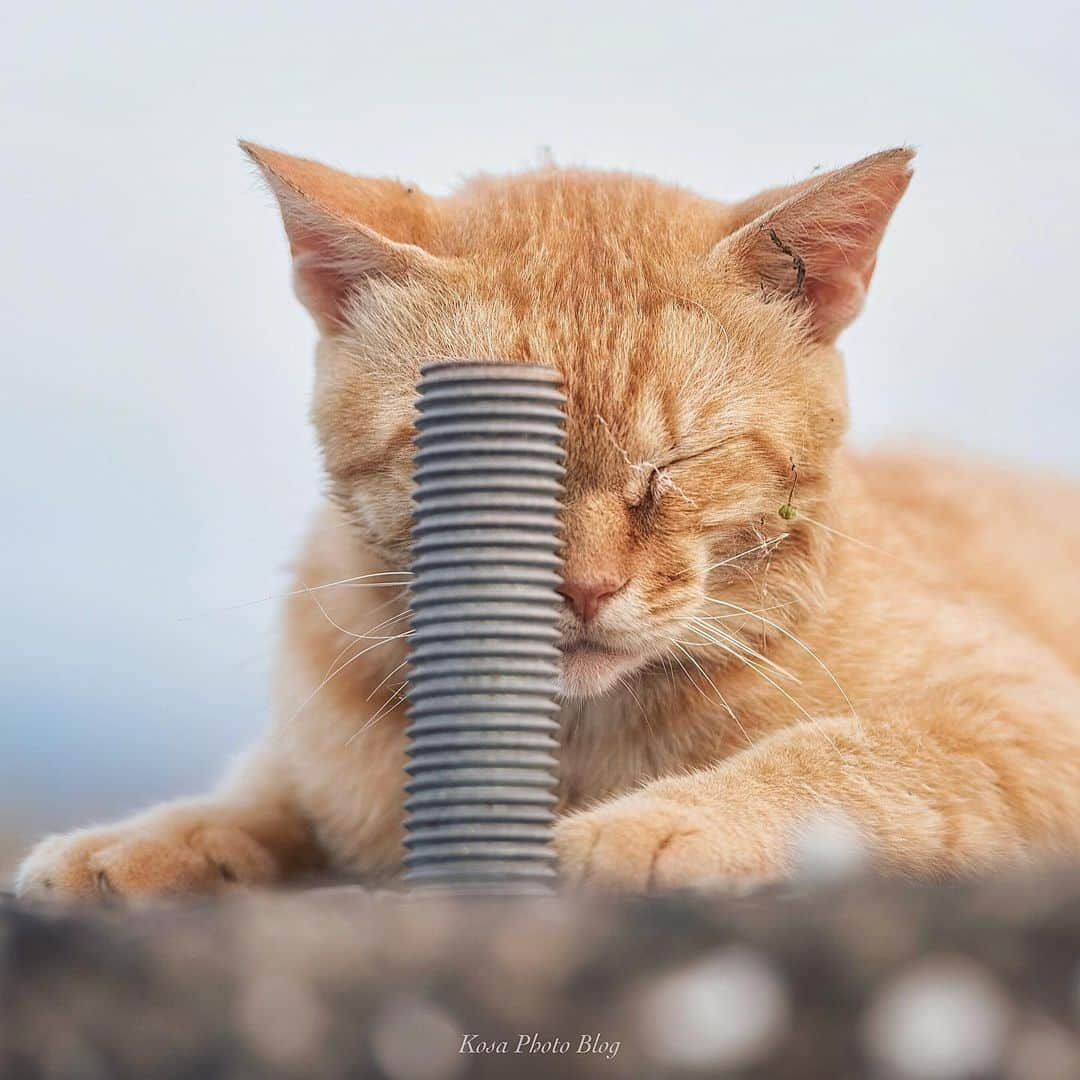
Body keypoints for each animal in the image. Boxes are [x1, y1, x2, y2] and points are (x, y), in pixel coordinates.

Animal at [16, 145, 1080, 902]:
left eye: (676, 464)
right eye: (473, 458)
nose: (582, 588)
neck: (568, 737)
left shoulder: (1020, 715)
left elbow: (848, 758)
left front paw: (658, 823)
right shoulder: (324, 757)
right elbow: (267, 792)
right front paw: (145, 839)